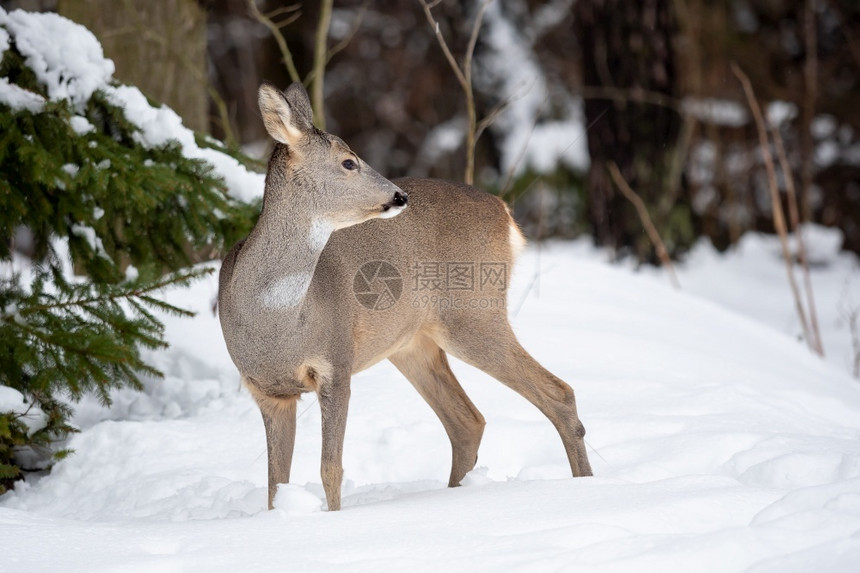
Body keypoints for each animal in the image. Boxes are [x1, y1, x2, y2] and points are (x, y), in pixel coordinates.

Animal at [217, 80, 592, 510]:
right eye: (349, 162)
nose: (399, 196)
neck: (275, 321)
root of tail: (505, 212)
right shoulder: (267, 390)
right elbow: (275, 483)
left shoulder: (336, 362)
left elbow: (331, 469)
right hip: (412, 343)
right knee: (467, 420)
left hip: (472, 313)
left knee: (558, 393)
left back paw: (585, 485)